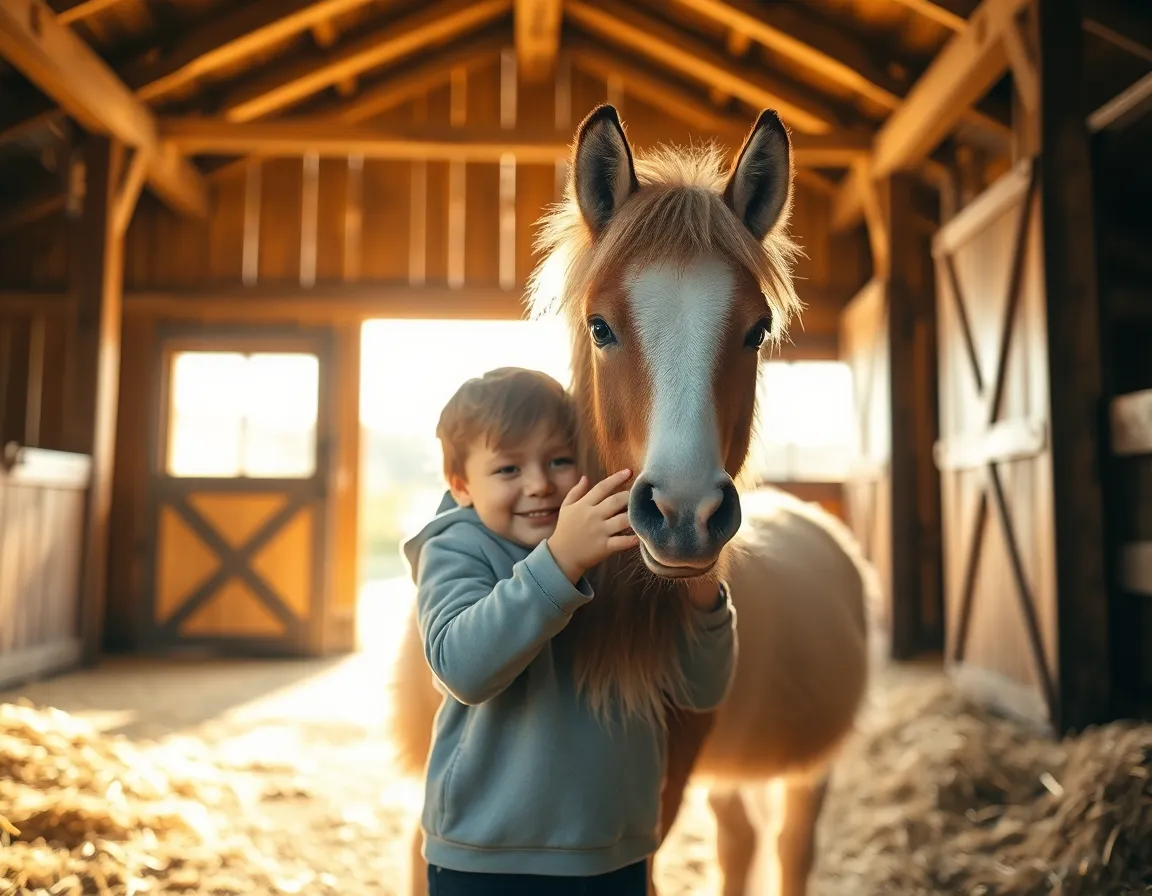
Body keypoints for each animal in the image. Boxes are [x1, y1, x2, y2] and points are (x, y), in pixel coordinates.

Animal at [387, 104, 874, 896]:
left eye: (756, 330)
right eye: (601, 326)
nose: (684, 517)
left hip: (805, 771)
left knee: (790, 846)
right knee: (739, 840)